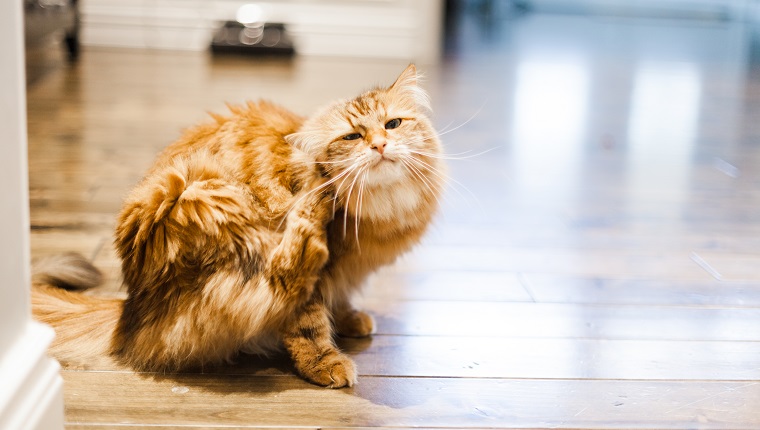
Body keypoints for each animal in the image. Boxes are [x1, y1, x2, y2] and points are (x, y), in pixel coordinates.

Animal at [31, 64, 446, 390]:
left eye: (393, 124)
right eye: (352, 137)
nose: (379, 146)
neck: (379, 212)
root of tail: (132, 313)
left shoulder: (345, 274)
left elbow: (339, 299)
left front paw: (350, 319)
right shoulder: (319, 280)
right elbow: (308, 324)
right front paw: (325, 363)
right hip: (192, 190)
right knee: (282, 275)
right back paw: (312, 212)